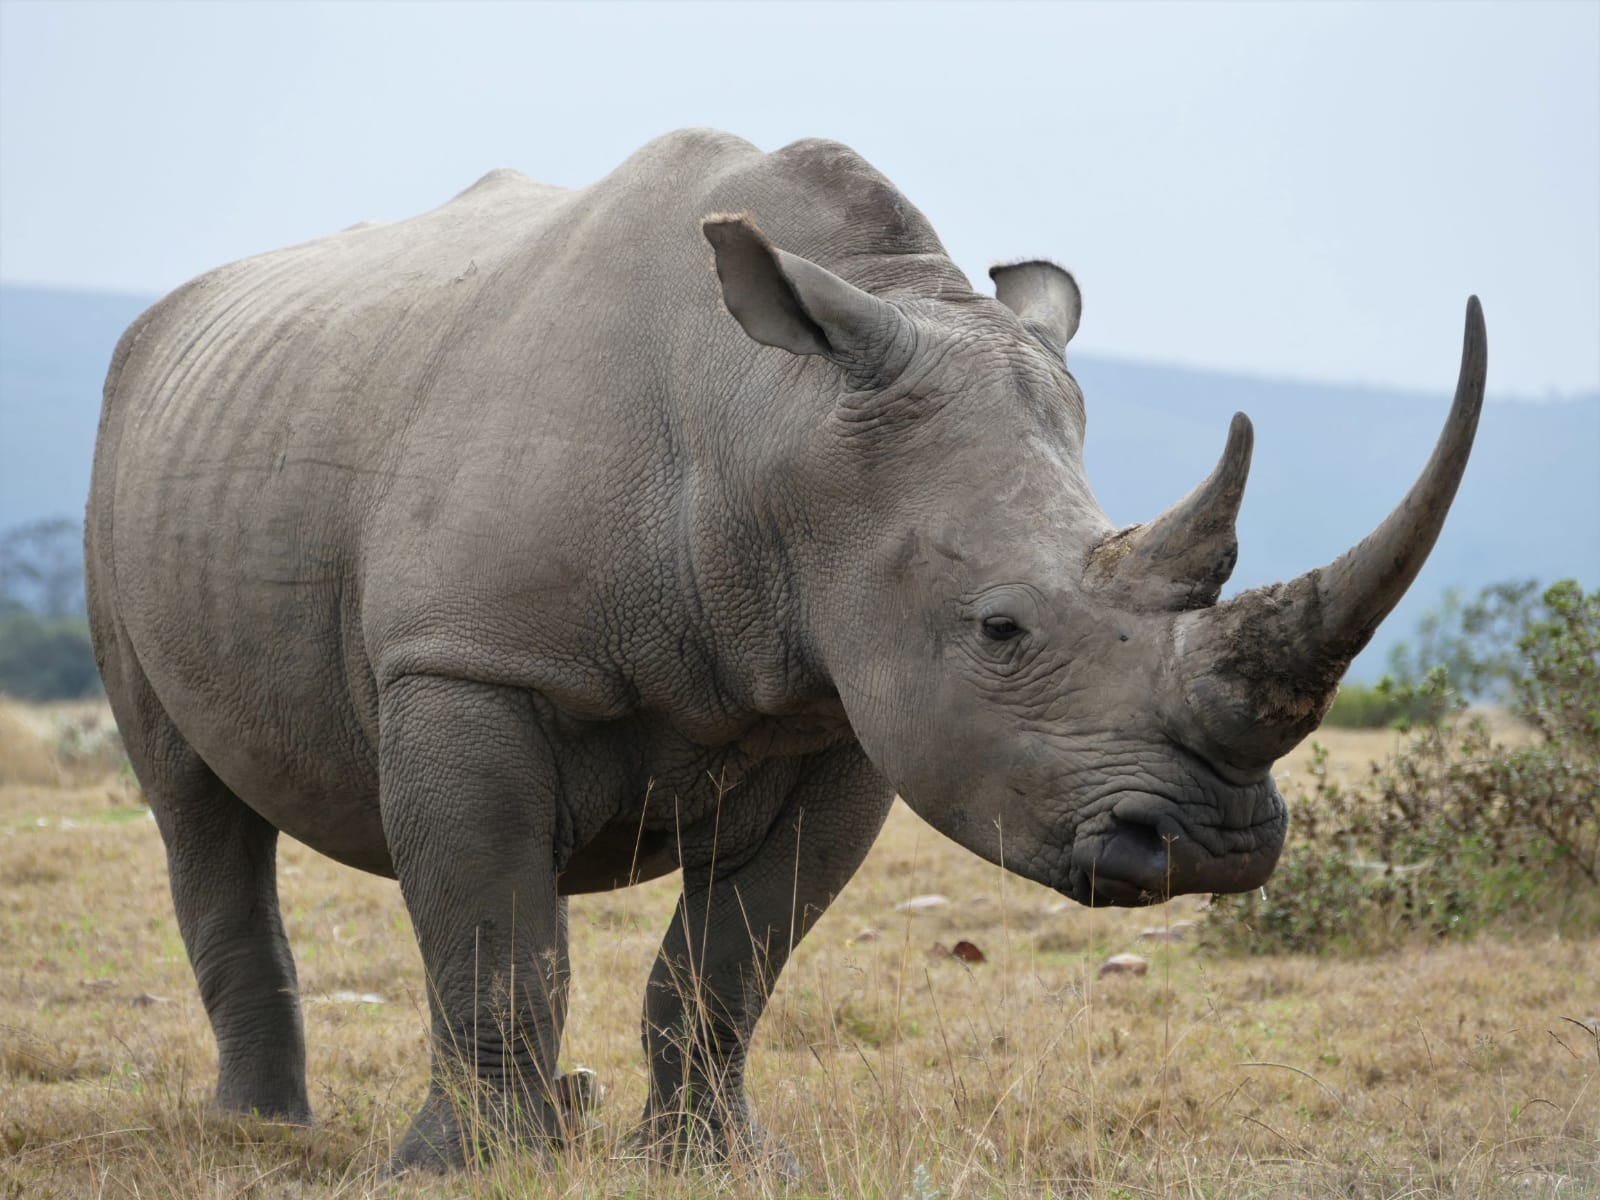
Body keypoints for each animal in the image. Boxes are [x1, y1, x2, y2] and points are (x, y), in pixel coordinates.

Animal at [85, 129, 1485, 1171]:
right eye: (1002, 628)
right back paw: (265, 1133)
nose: (1214, 845)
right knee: (196, 807)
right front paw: (469, 1168)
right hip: (131, 450)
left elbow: (725, 964)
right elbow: (490, 944)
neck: (767, 421)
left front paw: (707, 1163)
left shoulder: (847, 708)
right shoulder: (467, 660)